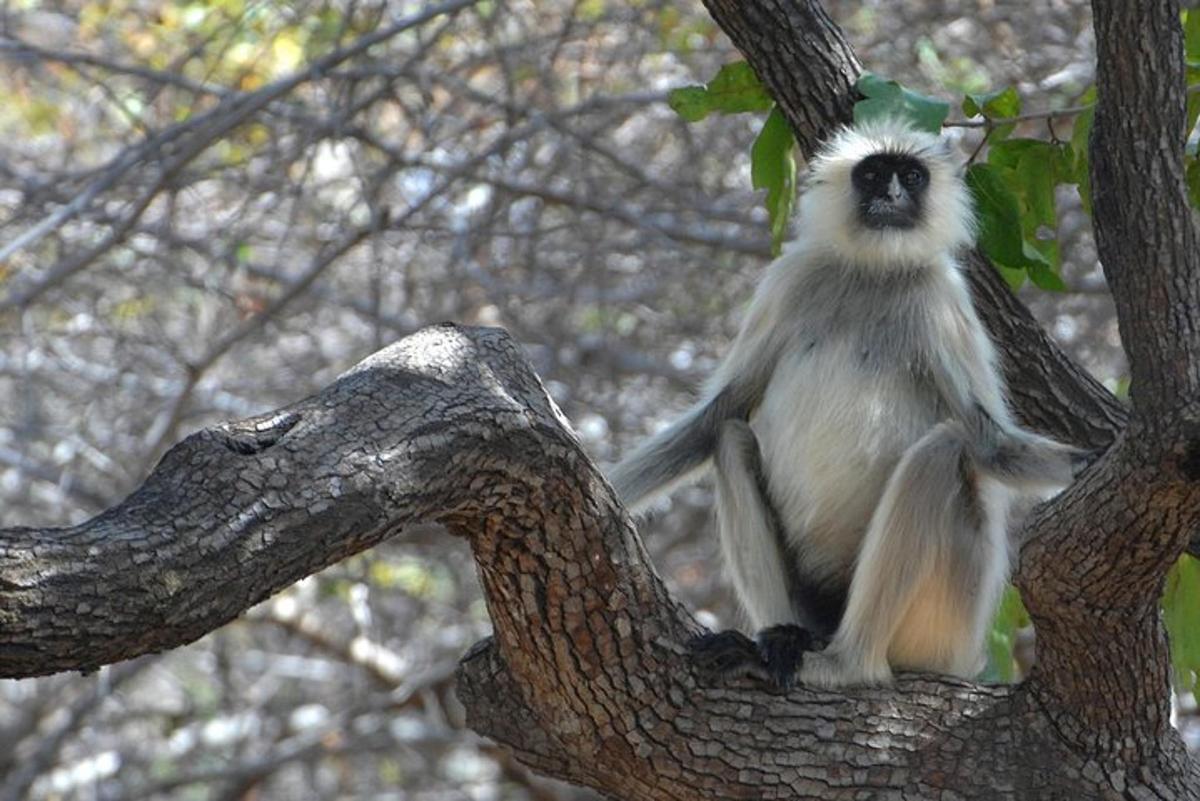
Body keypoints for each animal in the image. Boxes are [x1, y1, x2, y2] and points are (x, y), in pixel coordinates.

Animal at [604, 118, 1084, 690]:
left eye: (911, 177)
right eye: (874, 174)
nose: (892, 195)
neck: (872, 272)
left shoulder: (943, 299)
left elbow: (989, 443)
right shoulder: (792, 278)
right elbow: (717, 416)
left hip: (946, 625)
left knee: (943, 450)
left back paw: (848, 664)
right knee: (731, 438)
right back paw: (782, 640)